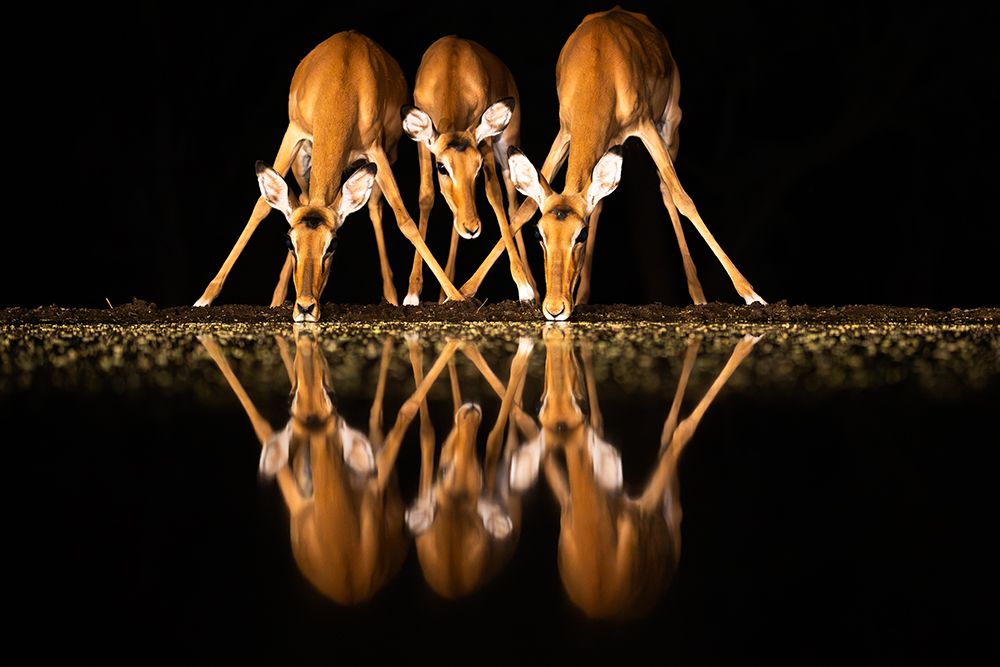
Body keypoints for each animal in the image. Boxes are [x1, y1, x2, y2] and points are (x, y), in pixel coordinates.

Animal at [193, 31, 465, 322]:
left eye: (332, 244)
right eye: (289, 242)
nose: (305, 307)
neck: (343, 81)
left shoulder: (376, 151)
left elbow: (404, 218)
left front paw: (455, 295)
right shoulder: (293, 133)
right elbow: (261, 208)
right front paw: (205, 297)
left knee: (374, 206)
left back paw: (392, 296)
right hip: (304, 160)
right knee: (301, 197)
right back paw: (277, 298)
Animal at [400, 36, 536, 305]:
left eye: (478, 167)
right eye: (442, 167)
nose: (472, 228)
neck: (452, 67)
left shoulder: (484, 141)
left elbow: (494, 195)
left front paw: (523, 287)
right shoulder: (423, 145)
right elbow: (426, 197)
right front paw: (412, 293)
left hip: (506, 144)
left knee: (514, 203)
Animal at [472, 8, 767, 320]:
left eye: (580, 234)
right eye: (540, 234)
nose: (555, 308)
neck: (600, 64)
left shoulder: (646, 126)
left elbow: (684, 200)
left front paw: (752, 295)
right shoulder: (565, 133)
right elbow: (525, 209)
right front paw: (469, 290)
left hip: (669, 127)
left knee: (667, 192)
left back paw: (699, 296)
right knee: (601, 200)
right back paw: (583, 295)